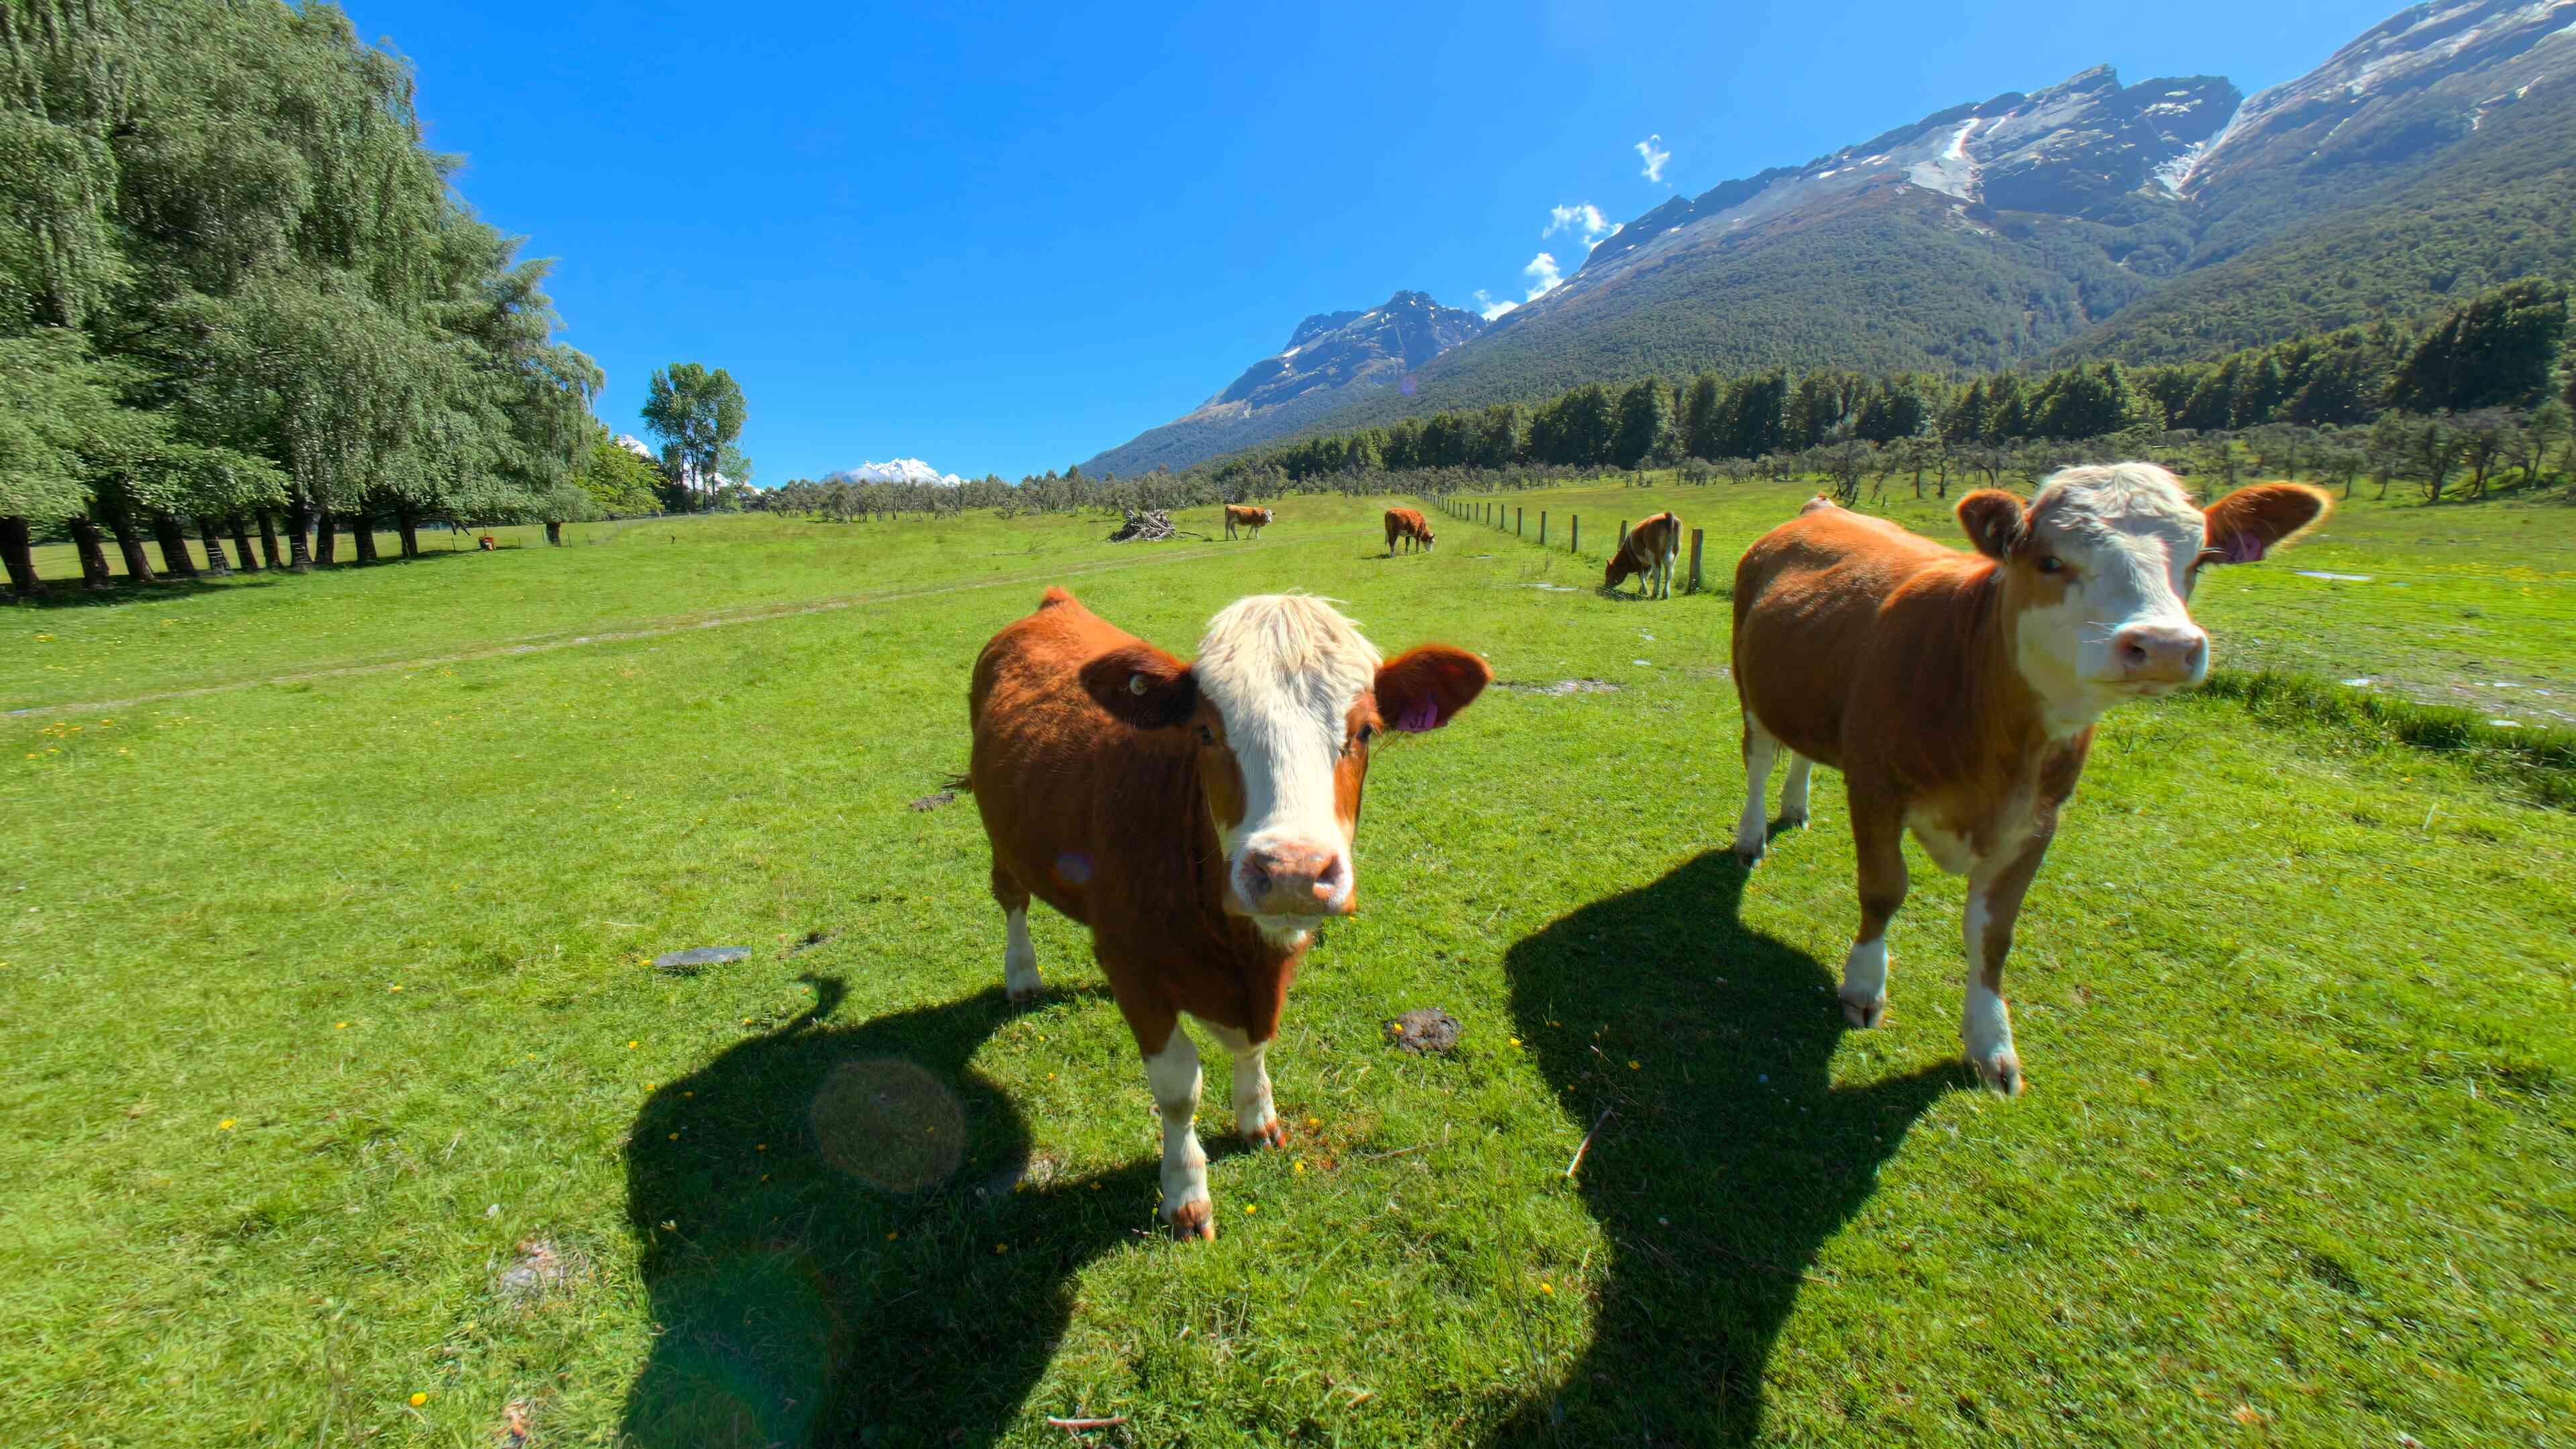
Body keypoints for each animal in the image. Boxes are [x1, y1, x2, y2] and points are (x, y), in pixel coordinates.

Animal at [967, 589, 1490, 1238]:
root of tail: (1054, 604)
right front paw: (1186, 1192)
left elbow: (1253, 1044)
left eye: (1366, 730)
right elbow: (1178, 1087)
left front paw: (1256, 1115)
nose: (1292, 872)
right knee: (1011, 897)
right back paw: (1021, 975)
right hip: (1000, 836)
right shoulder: (1133, 966)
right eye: (1207, 731)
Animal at [1605, 511, 1684, 598]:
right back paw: (1665, 594)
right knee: (1669, 572)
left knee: (1657, 571)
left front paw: (1644, 591)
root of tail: (1666, 514)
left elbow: (1641, 575)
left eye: (1608, 573)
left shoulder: (1635, 560)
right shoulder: (1648, 564)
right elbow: (1646, 575)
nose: (1606, 586)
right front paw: (1641, 590)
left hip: (1653, 552)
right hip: (1675, 552)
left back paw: (1655, 592)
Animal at [1728, 463, 2330, 1095]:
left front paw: (1991, 1041)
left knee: (1803, 753)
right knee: (1761, 759)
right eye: (2050, 561)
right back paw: (1752, 836)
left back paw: (1796, 806)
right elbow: (1883, 889)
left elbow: (1994, 933)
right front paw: (1865, 986)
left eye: (2198, 562)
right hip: (1752, 689)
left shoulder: (2039, 820)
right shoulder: (1876, 789)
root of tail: (1823, 509)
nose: (2165, 646)